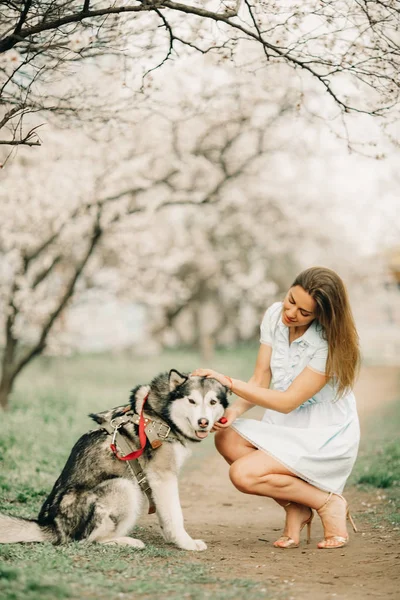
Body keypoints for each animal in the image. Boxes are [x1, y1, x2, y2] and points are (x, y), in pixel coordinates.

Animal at [0, 368, 228, 552]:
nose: (203, 422)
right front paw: (186, 543)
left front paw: (170, 537)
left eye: (212, 402)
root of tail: (52, 525)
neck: (162, 415)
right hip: (124, 486)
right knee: (87, 540)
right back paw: (126, 541)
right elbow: (176, 515)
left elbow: (165, 514)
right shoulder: (163, 476)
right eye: (191, 401)